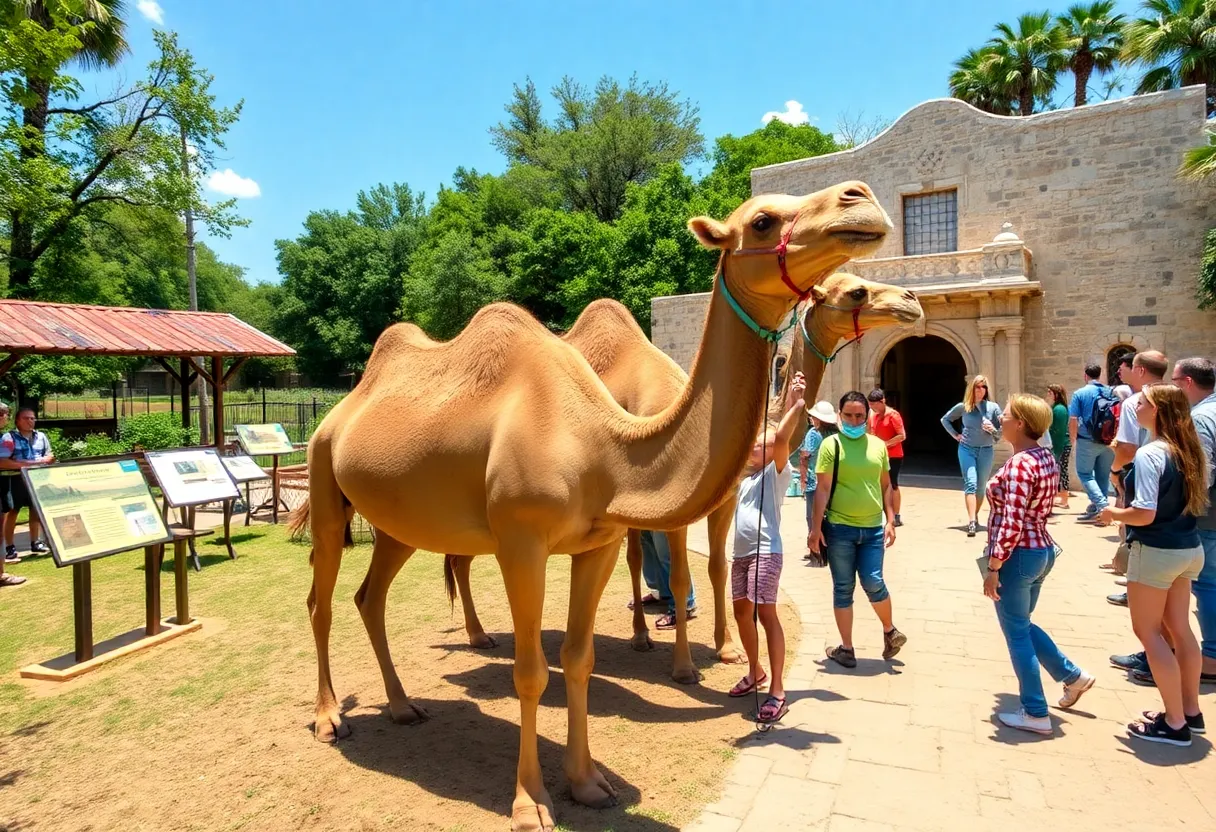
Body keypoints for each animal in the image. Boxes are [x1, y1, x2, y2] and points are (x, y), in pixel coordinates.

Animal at [444, 272, 923, 684]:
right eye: (856, 292)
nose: (911, 301)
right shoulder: (674, 507)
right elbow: (677, 576)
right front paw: (684, 666)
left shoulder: (723, 499)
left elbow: (716, 566)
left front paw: (727, 648)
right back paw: (484, 635)